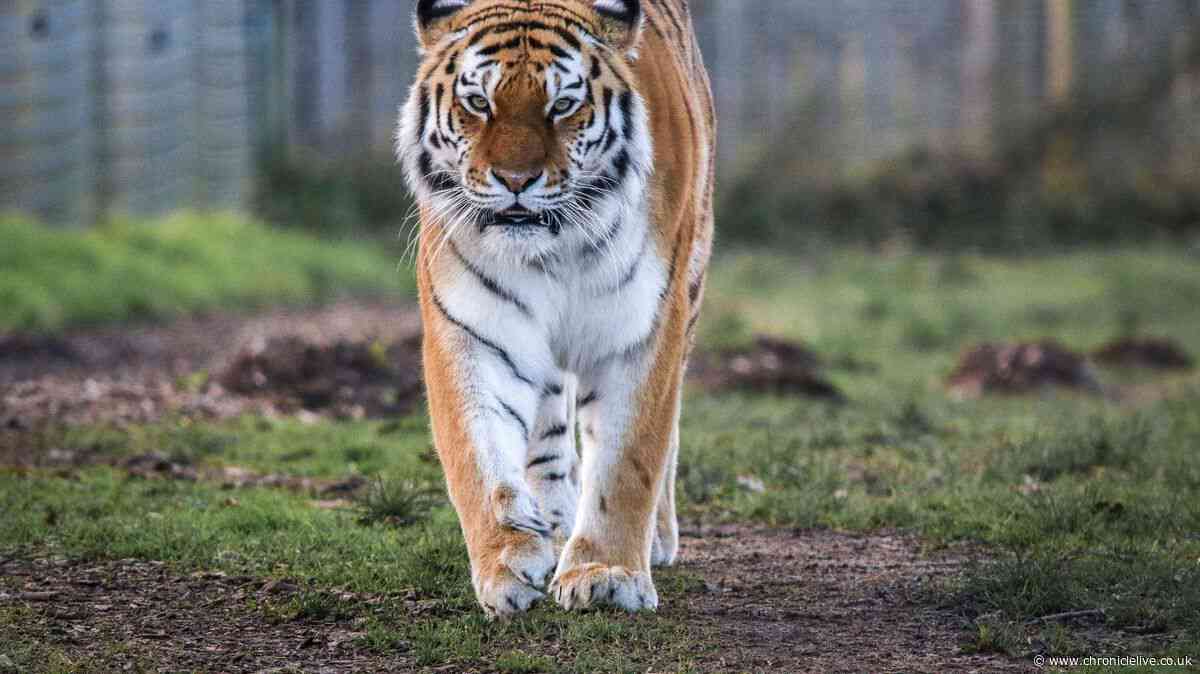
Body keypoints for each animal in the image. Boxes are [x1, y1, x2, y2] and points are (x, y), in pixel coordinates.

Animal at [396, 0, 714, 618]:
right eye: (479, 103)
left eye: (562, 105)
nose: (516, 181)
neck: (555, 249)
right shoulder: (472, 330)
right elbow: (478, 457)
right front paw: (505, 564)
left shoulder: (641, 330)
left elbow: (628, 459)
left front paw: (607, 574)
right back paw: (553, 522)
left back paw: (655, 539)